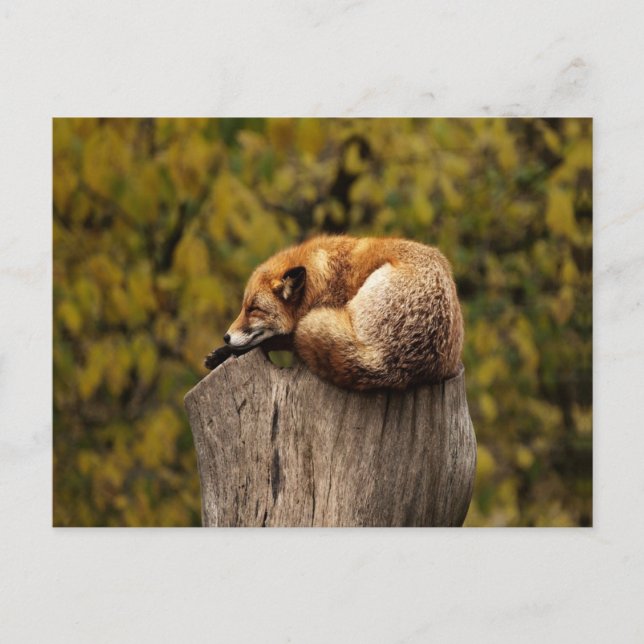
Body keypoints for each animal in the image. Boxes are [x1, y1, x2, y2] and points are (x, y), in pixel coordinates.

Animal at [204, 235, 464, 390]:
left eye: (254, 309)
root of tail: (388, 363)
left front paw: (225, 353)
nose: (226, 336)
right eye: (243, 307)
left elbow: (274, 341)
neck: (324, 279)